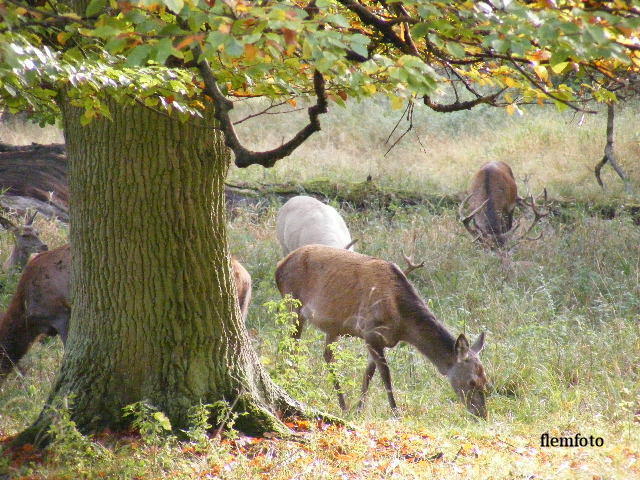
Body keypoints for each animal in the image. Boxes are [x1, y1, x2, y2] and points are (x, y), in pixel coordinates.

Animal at [272, 246, 488, 418]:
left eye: (486, 380)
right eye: (472, 382)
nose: (481, 414)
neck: (402, 323)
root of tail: (279, 265)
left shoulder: (379, 339)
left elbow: (369, 372)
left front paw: (359, 409)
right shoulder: (371, 331)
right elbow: (385, 374)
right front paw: (395, 412)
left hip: (333, 326)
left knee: (326, 355)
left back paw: (343, 405)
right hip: (293, 304)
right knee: (291, 346)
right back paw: (293, 383)